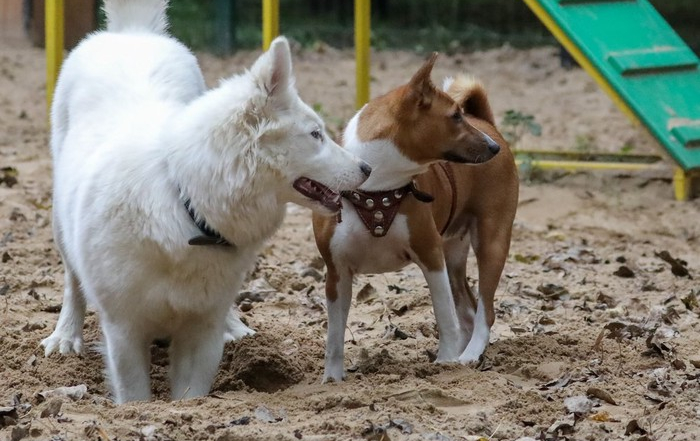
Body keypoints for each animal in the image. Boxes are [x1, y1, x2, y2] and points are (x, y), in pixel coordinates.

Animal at [42, 0, 372, 402]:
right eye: (315, 134)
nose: (367, 168)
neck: (186, 203)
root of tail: (132, 32)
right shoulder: (124, 331)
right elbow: (136, 397)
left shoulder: (201, 332)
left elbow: (191, 395)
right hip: (61, 224)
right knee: (73, 282)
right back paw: (65, 336)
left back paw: (236, 328)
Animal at [314, 53, 516, 380]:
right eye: (455, 116)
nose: (493, 146)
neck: (376, 190)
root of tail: (488, 122)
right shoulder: (336, 273)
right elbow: (334, 337)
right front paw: (331, 380)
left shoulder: (431, 255)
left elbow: (444, 316)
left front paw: (445, 362)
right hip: (454, 253)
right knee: (469, 310)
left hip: (491, 242)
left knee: (485, 312)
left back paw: (468, 355)